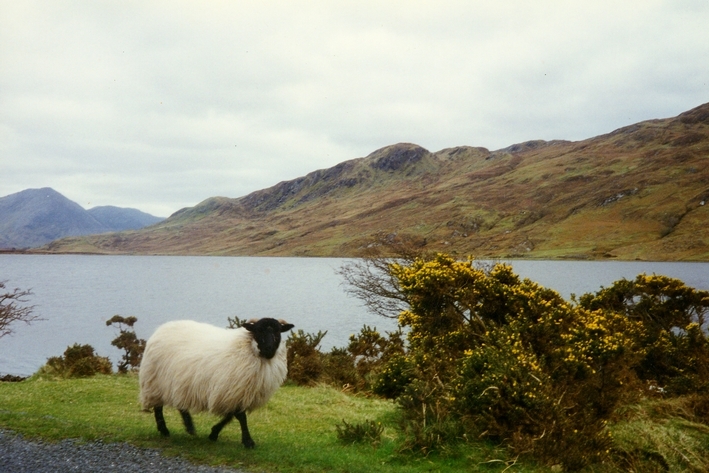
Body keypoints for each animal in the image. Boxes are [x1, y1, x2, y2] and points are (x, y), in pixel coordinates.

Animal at [138, 318, 294, 446]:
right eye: (258, 331)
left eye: (278, 332)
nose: (269, 349)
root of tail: (162, 328)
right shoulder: (233, 389)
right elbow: (240, 417)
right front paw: (248, 441)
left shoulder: (233, 393)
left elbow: (230, 416)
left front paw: (214, 433)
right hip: (156, 380)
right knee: (158, 407)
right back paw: (165, 429)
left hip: (179, 382)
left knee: (179, 404)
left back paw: (189, 426)